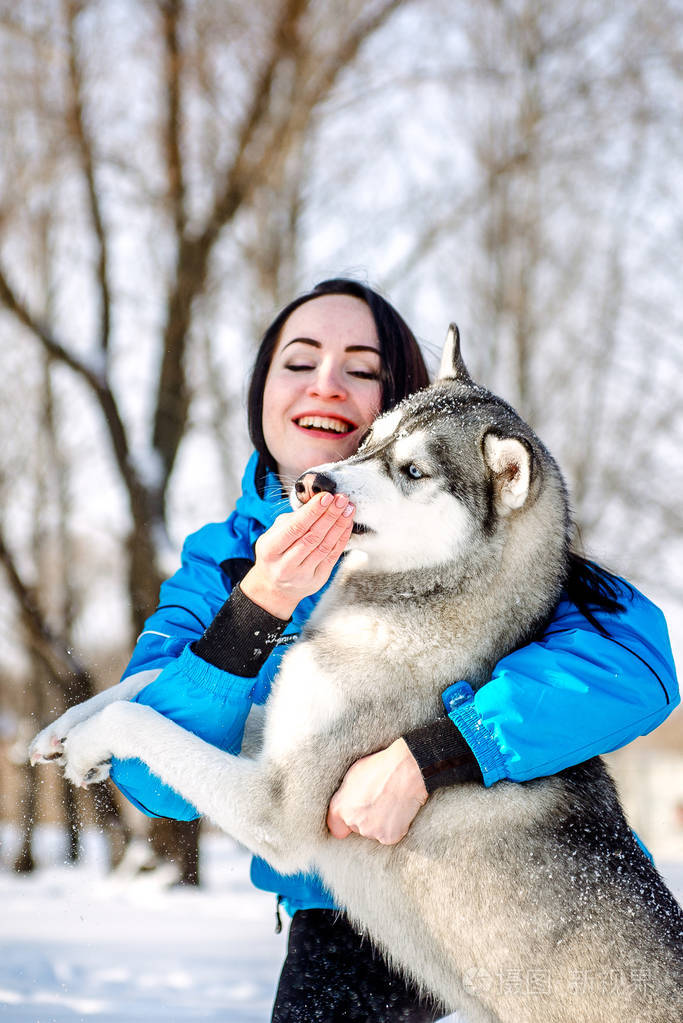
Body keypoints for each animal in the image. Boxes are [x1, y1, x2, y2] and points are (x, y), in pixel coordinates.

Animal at [31, 331, 683, 1018]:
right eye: (370, 437)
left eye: (414, 471)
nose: (312, 482)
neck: (415, 606)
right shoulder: (286, 714)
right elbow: (148, 687)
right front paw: (64, 730)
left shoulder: (278, 804)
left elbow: (144, 722)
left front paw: (93, 739)